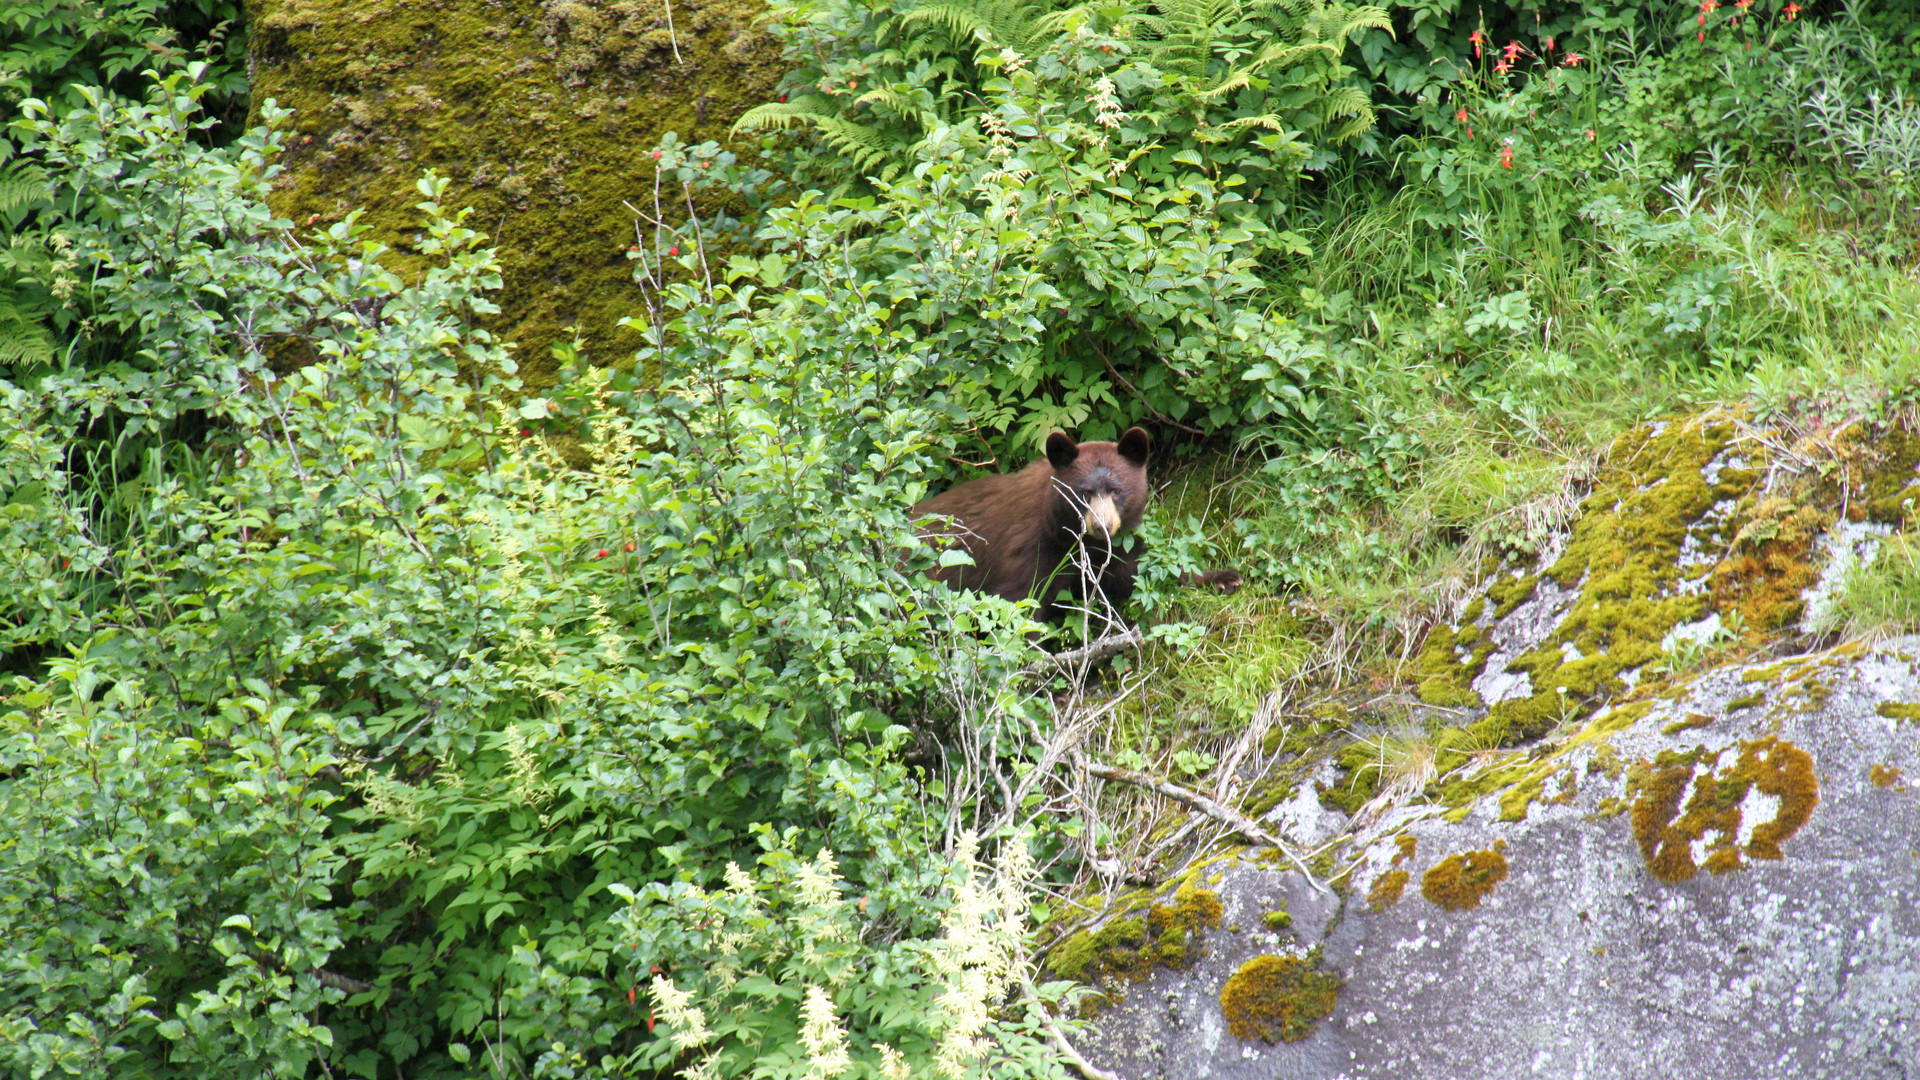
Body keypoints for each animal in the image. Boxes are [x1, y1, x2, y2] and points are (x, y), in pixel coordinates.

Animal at [906, 422, 1236, 618]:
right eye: (1084, 492)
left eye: (1116, 490)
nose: (1102, 527)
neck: (1075, 539)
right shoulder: (1030, 548)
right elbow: (1020, 603)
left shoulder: (1112, 550)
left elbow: (1144, 572)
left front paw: (1222, 578)